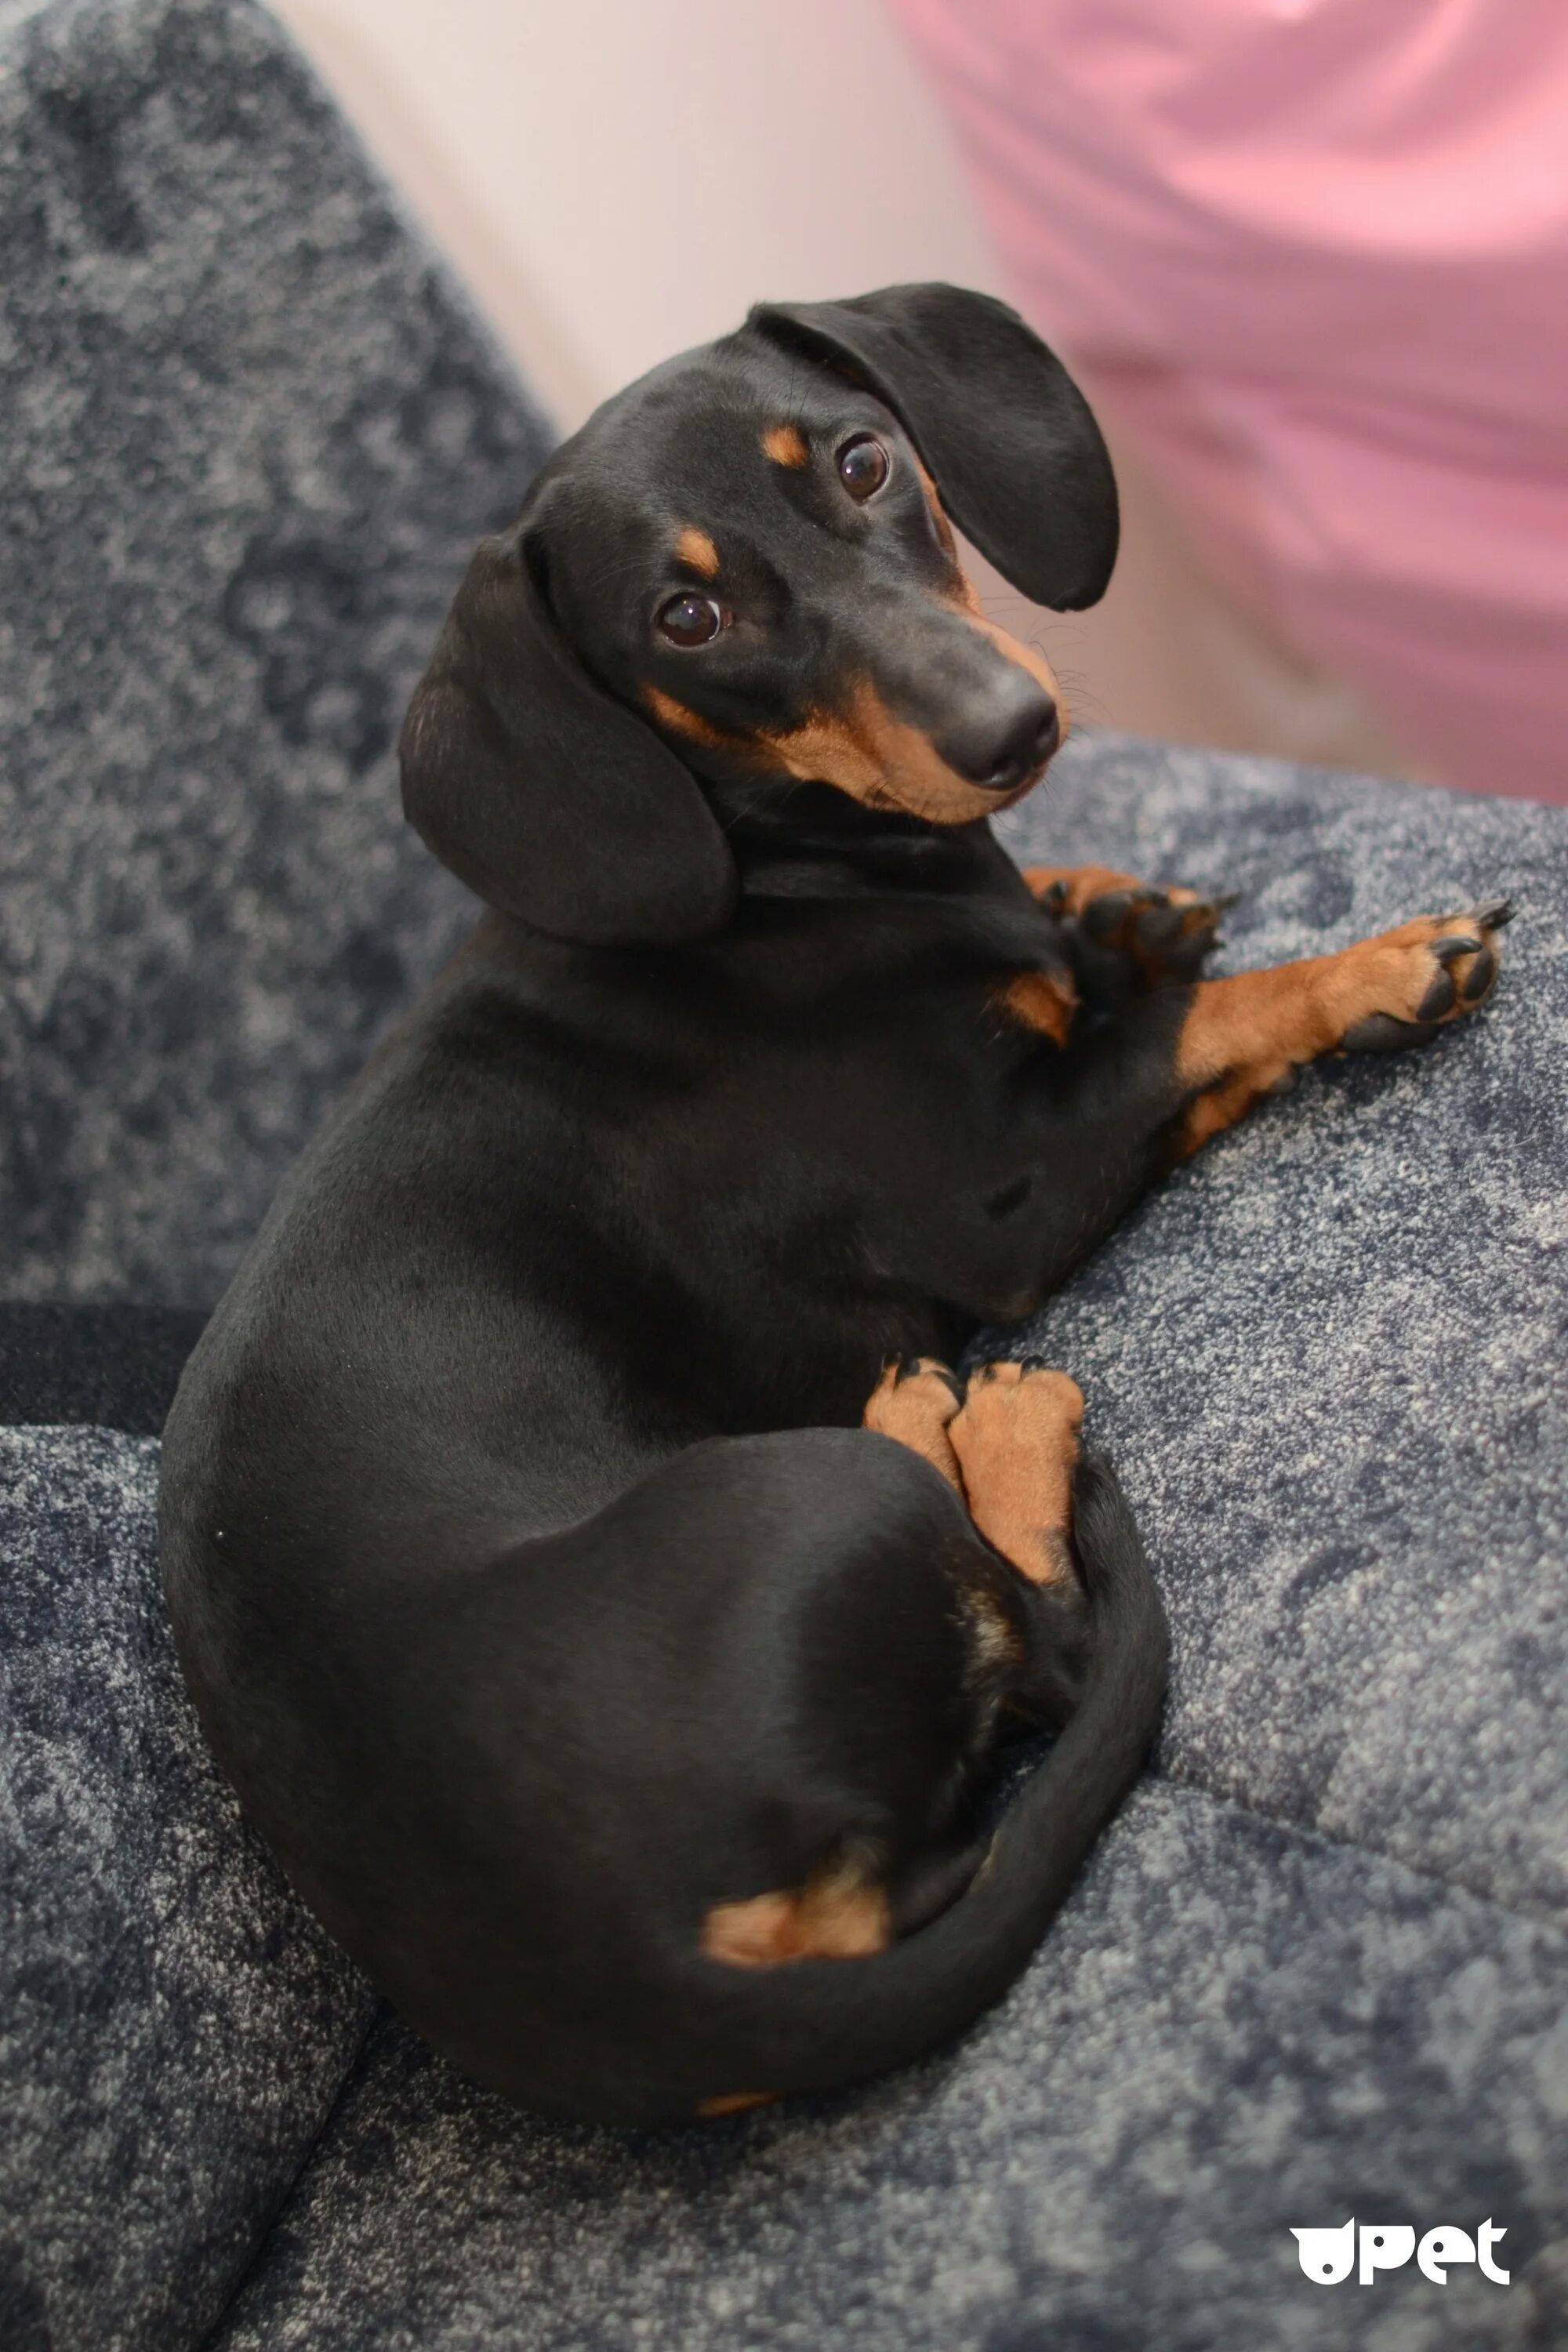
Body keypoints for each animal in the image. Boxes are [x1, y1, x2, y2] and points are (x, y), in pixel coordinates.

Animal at [159, 284, 1508, 2127]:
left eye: (866, 461)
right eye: (688, 614)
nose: (1011, 733)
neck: (784, 877)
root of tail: (669, 1988)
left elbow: (1116, 975)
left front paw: (1115, 907)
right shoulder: (1001, 1189)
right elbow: (1193, 1035)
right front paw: (1369, 968)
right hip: (815, 1497)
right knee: (1049, 1640)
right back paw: (980, 1430)